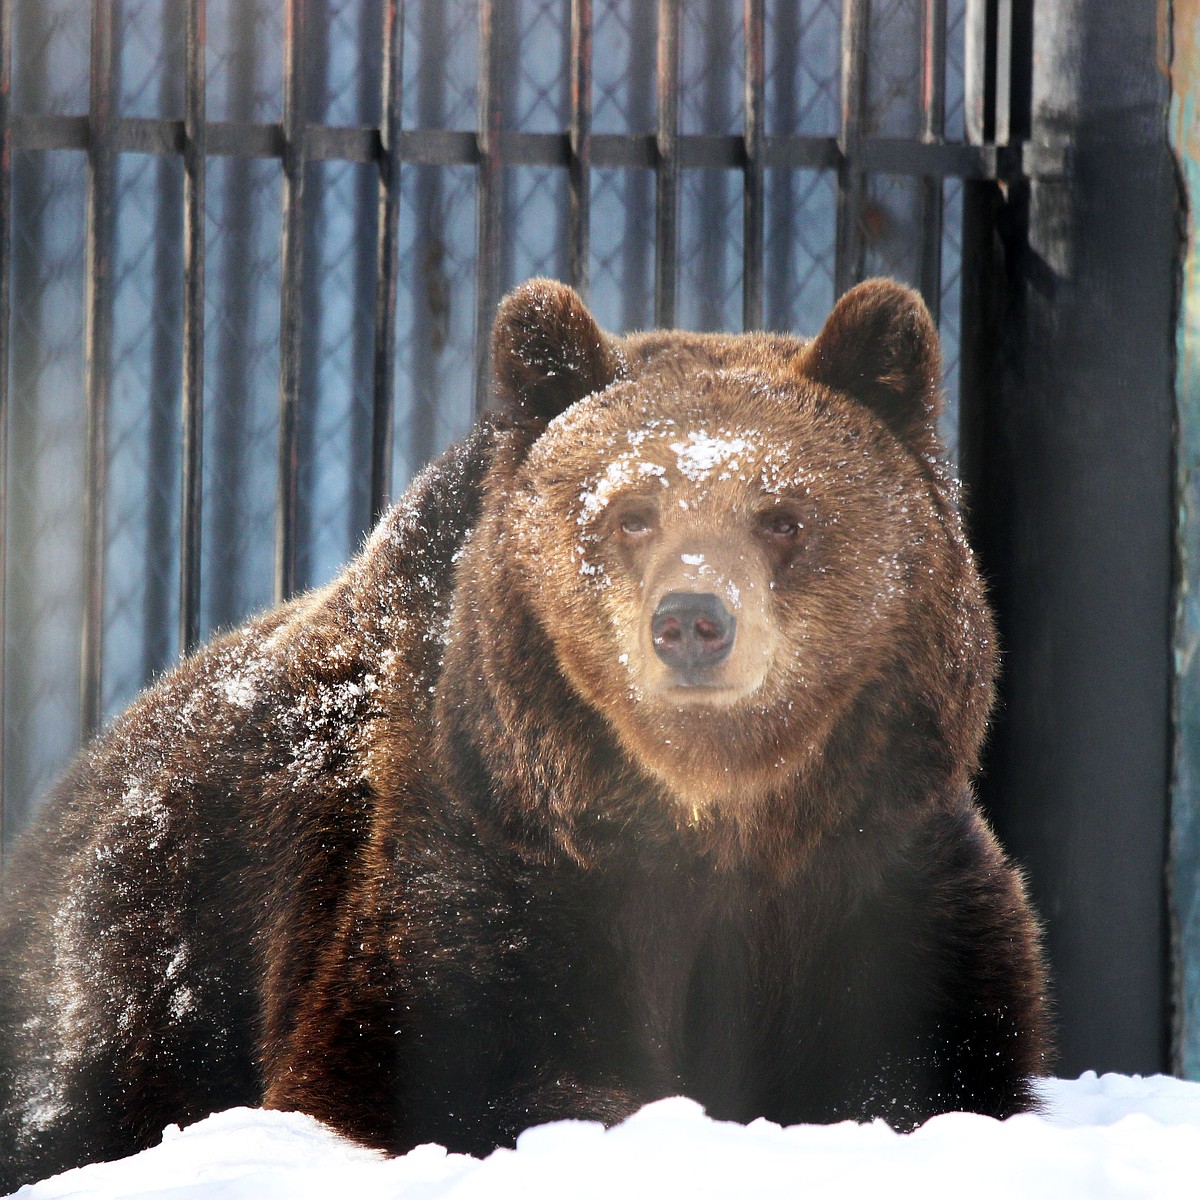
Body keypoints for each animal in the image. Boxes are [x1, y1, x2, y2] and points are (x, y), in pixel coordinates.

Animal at [0, 276, 1051, 1185]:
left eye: (783, 514)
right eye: (632, 513)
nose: (692, 620)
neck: (716, 818)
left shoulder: (876, 867)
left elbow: (941, 1057)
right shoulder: (495, 852)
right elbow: (443, 1057)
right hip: (135, 954)